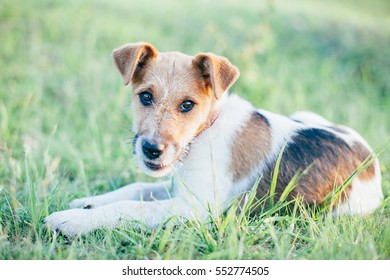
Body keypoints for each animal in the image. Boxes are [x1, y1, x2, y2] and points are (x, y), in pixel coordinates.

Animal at [46, 42, 384, 236]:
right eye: (145, 97)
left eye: (187, 105)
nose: (151, 150)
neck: (204, 132)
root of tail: (372, 160)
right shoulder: (176, 185)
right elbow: (135, 189)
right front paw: (87, 202)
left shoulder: (193, 207)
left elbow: (129, 208)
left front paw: (72, 220)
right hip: (307, 114)